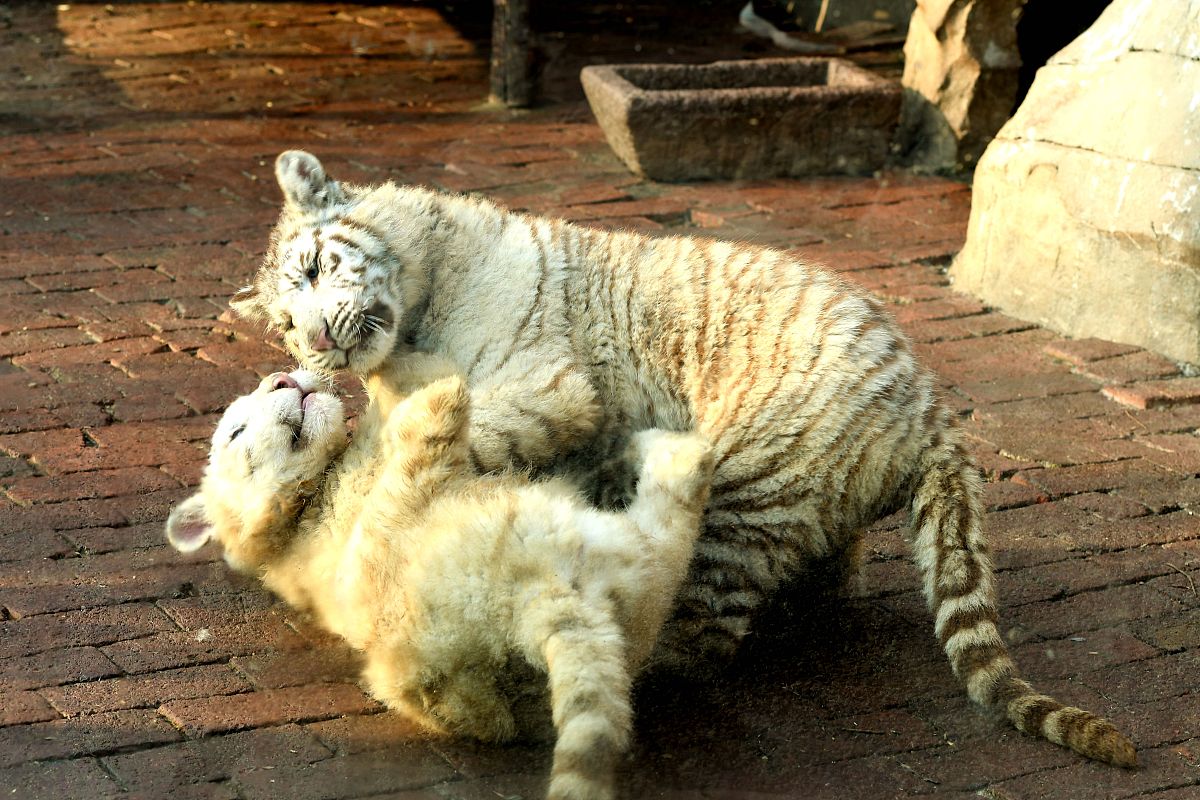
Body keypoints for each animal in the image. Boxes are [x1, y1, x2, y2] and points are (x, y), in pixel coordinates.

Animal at [165, 356, 716, 800]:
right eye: (236, 432)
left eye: (265, 388)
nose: (282, 378)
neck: (302, 508)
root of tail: (547, 593)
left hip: (635, 566)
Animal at [228, 149, 1137, 767]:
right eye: (284, 325)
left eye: (317, 268)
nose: (317, 345)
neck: (418, 301)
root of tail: (930, 409)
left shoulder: (552, 387)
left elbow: (465, 434)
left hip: (749, 487)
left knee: (692, 632)